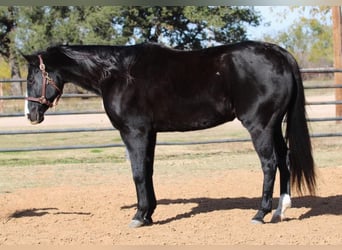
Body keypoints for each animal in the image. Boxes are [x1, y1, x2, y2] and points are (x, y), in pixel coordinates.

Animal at [23, 41, 316, 227]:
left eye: (30, 78)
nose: (30, 114)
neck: (117, 73)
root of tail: (280, 54)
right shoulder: (149, 133)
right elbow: (148, 171)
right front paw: (149, 214)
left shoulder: (134, 132)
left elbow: (138, 173)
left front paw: (139, 217)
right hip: (274, 125)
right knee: (284, 160)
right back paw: (280, 210)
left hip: (260, 126)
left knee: (269, 164)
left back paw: (260, 214)